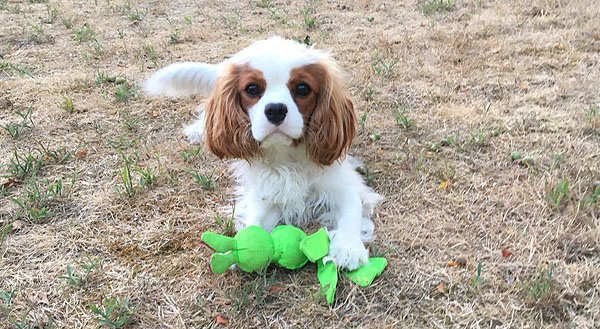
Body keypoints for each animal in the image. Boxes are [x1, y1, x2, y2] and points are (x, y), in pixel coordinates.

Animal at [144, 36, 380, 270]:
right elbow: (254, 223)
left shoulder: (344, 185)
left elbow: (351, 211)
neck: (287, 155)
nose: (275, 109)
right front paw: (238, 250)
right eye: (252, 89)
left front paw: (349, 248)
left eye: (302, 88)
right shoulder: (266, 195)